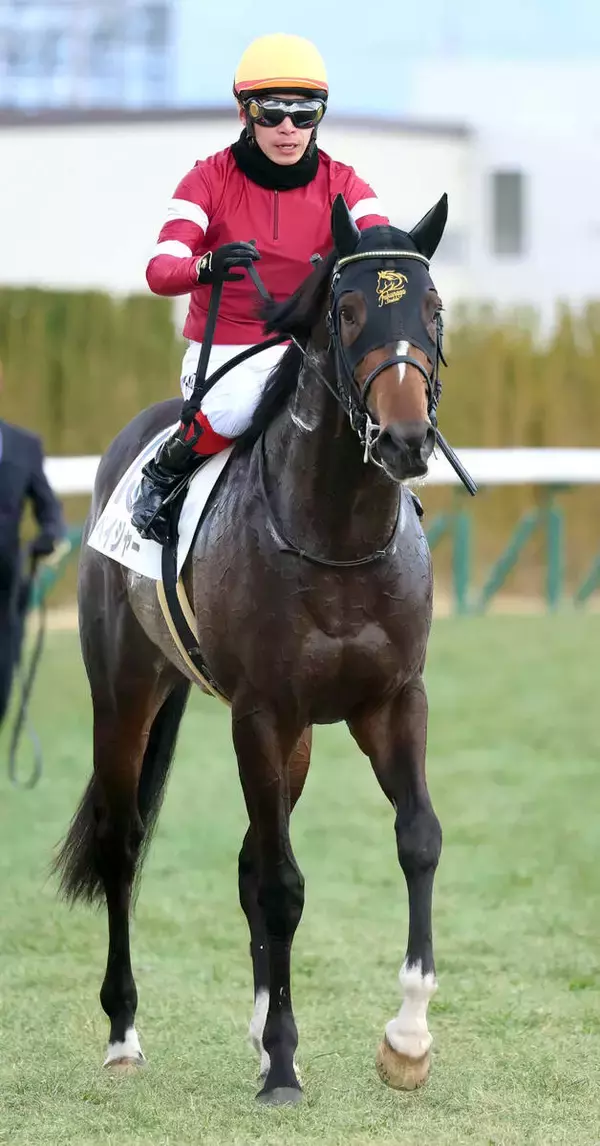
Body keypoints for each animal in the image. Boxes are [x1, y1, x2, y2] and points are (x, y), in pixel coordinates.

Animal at [55, 193, 449, 1106]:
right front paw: (283, 1064)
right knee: (124, 843)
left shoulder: (391, 701)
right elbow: (280, 883)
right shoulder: (261, 714)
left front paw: (406, 1039)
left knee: (243, 856)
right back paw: (124, 1035)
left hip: (293, 737)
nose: (406, 439)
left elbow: (417, 838)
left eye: (433, 308)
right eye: (349, 310)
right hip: (124, 694)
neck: (337, 537)